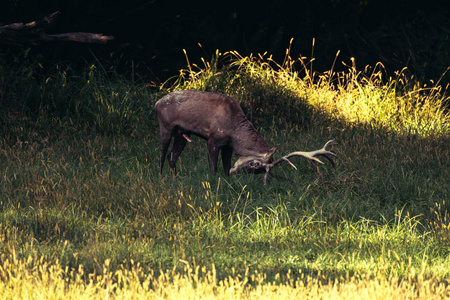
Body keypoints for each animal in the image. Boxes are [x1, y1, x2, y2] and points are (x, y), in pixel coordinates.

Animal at [156, 89, 336, 184]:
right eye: (255, 165)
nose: (237, 172)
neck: (234, 131)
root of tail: (157, 103)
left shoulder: (228, 147)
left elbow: (225, 166)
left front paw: (228, 178)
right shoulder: (213, 139)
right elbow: (213, 167)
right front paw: (213, 182)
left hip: (182, 133)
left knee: (173, 155)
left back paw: (175, 177)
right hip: (165, 127)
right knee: (162, 154)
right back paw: (160, 176)